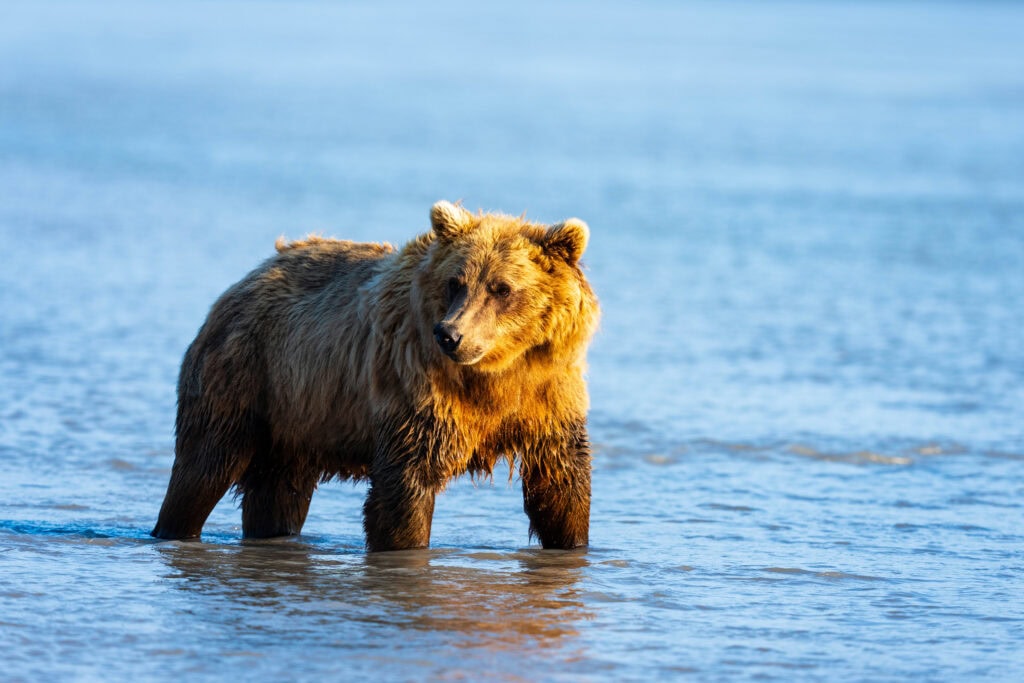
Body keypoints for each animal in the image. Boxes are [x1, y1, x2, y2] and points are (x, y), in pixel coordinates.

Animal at [151, 201, 600, 551]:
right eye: (455, 282)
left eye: (501, 288)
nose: (449, 334)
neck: (495, 378)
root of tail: (246, 279)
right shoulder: (419, 392)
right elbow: (405, 486)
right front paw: (405, 544)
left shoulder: (548, 398)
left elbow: (560, 482)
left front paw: (572, 539)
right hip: (245, 375)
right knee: (203, 468)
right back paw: (173, 527)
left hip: (295, 418)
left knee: (277, 492)